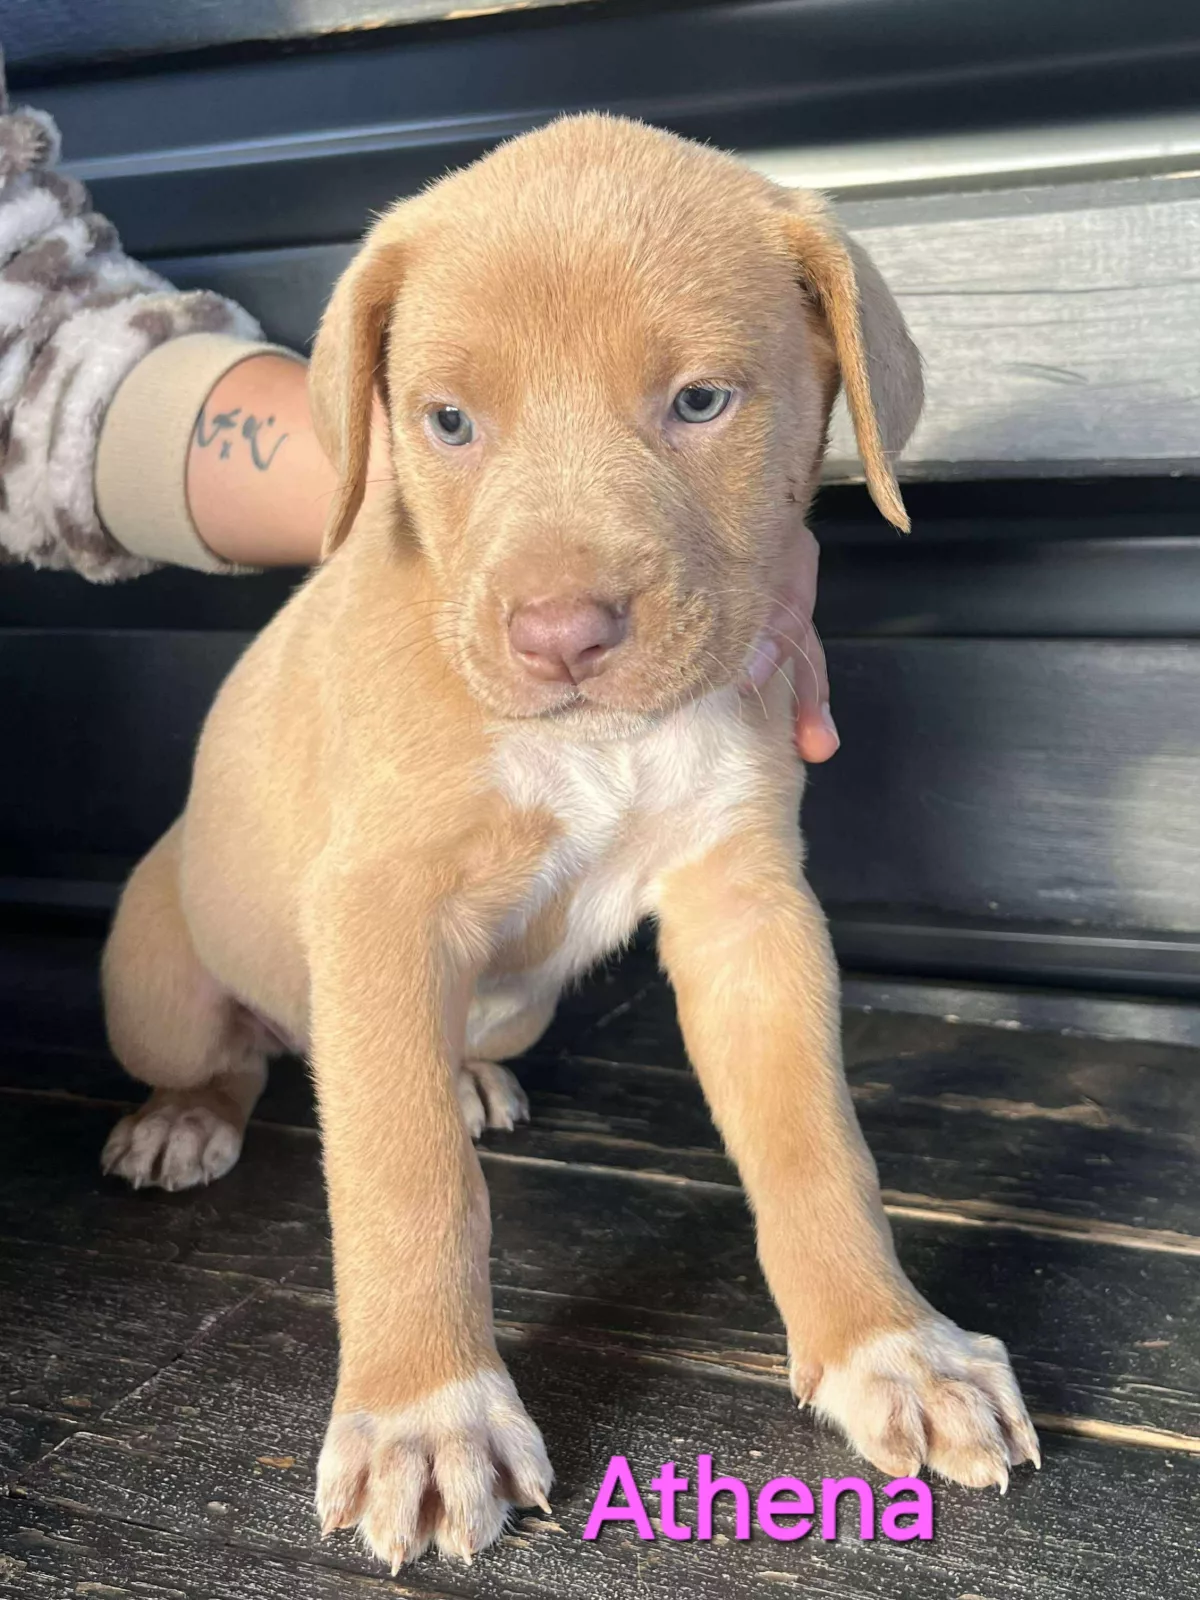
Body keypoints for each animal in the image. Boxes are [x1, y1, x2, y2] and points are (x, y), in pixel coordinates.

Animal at [100, 114, 1038, 1567]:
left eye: (700, 403)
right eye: (447, 421)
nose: (559, 636)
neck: (604, 738)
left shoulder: (749, 905)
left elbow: (818, 1142)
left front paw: (890, 1344)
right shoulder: (380, 907)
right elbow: (404, 1174)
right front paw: (428, 1414)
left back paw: (470, 1081)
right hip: (160, 975)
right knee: (239, 1060)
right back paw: (184, 1121)